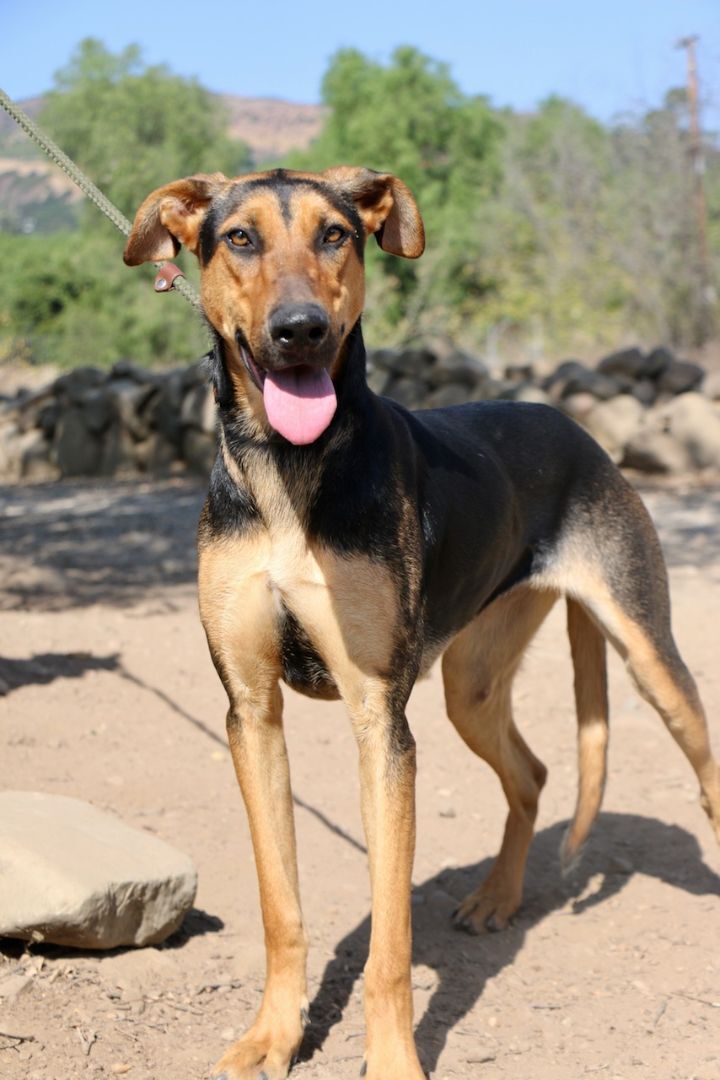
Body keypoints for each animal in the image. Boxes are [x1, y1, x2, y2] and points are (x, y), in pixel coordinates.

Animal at [125, 168, 720, 1080]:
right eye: (241, 239)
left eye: (336, 234)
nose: (301, 330)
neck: (291, 469)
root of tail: (573, 424)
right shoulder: (251, 713)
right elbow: (280, 905)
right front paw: (274, 1035)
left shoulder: (382, 720)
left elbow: (390, 943)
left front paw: (395, 1060)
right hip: (470, 686)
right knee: (533, 773)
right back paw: (498, 899)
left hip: (648, 653)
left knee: (705, 768)